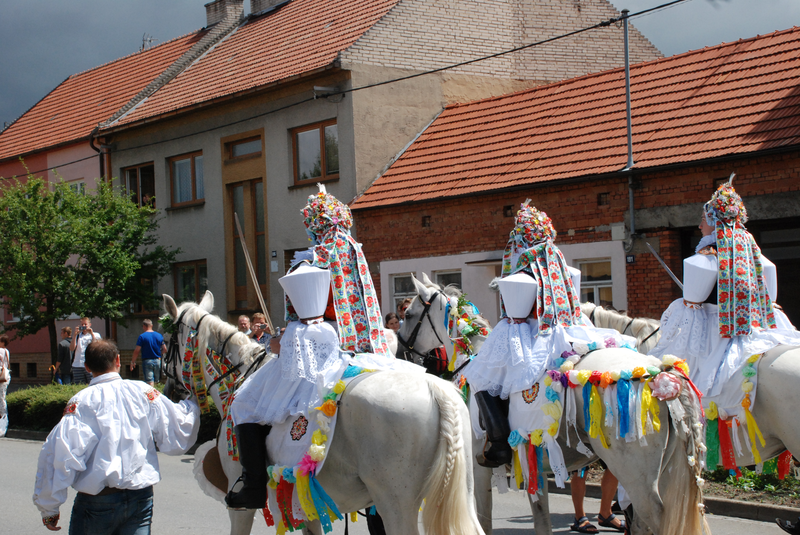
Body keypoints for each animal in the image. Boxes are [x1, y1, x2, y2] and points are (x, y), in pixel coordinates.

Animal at [162, 294, 484, 535]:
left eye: (168, 340)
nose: (168, 387)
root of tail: (435, 388)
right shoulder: (307, 507)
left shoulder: (238, 507)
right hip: (461, 495)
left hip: (396, 505)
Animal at [404, 276, 708, 535]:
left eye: (408, 314)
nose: (405, 353)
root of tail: (659, 373)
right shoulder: (533, 463)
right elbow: (541, 520)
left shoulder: (479, 469)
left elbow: (485, 521)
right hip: (666, 473)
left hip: (636, 475)